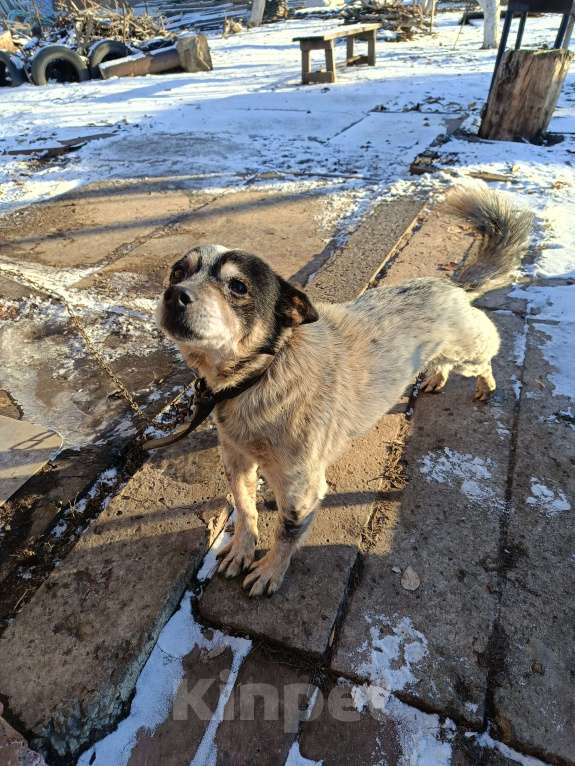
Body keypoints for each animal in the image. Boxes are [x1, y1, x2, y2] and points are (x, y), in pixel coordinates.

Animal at [155, 188, 532, 600]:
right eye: (178, 272)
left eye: (237, 286)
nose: (174, 295)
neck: (260, 376)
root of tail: (450, 285)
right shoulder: (236, 459)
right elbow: (245, 509)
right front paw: (241, 549)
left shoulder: (301, 488)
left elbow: (286, 532)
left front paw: (270, 571)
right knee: (446, 363)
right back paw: (436, 377)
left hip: (468, 352)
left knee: (487, 355)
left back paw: (486, 386)